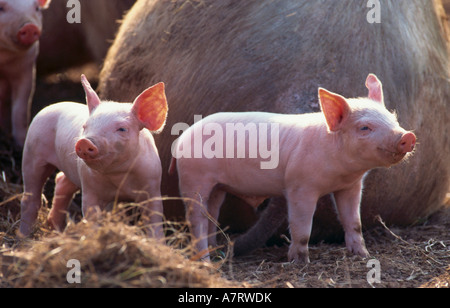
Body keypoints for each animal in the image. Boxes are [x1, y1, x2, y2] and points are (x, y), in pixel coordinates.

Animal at [0, 0, 51, 146]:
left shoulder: (26, 69)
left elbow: (20, 108)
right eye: (1, 8)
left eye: (37, 8)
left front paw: (20, 143)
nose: (30, 26)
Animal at [18, 75, 168, 238]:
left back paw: (56, 229)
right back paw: (23, 237)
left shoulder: (152, 186)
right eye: (85, 126)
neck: (119, 176)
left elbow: (155, 220)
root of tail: (50, 106)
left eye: (122, 129)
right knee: (30, 197)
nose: (84, 141)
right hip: (32, 151)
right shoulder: (89, 188)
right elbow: (91, 215)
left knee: (61, 181)